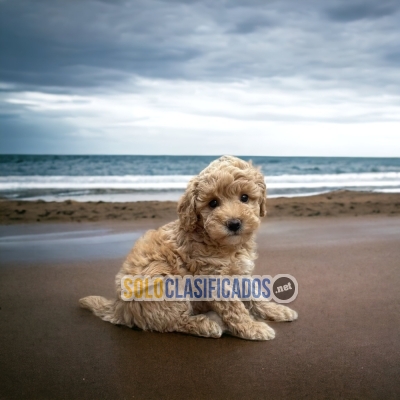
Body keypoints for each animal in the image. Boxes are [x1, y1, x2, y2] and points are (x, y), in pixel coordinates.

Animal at [79, 155, 296, 340]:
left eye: (244, 197)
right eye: (213, 203)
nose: (234, 223)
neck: (224, 245)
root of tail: (119, 308)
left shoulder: (240, 272)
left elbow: (253, 294)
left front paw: (275, 310)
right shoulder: (212, 278)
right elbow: (234, 308)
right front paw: (252, 327)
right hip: (166, 282)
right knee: (173, 321)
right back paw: (207, 324)